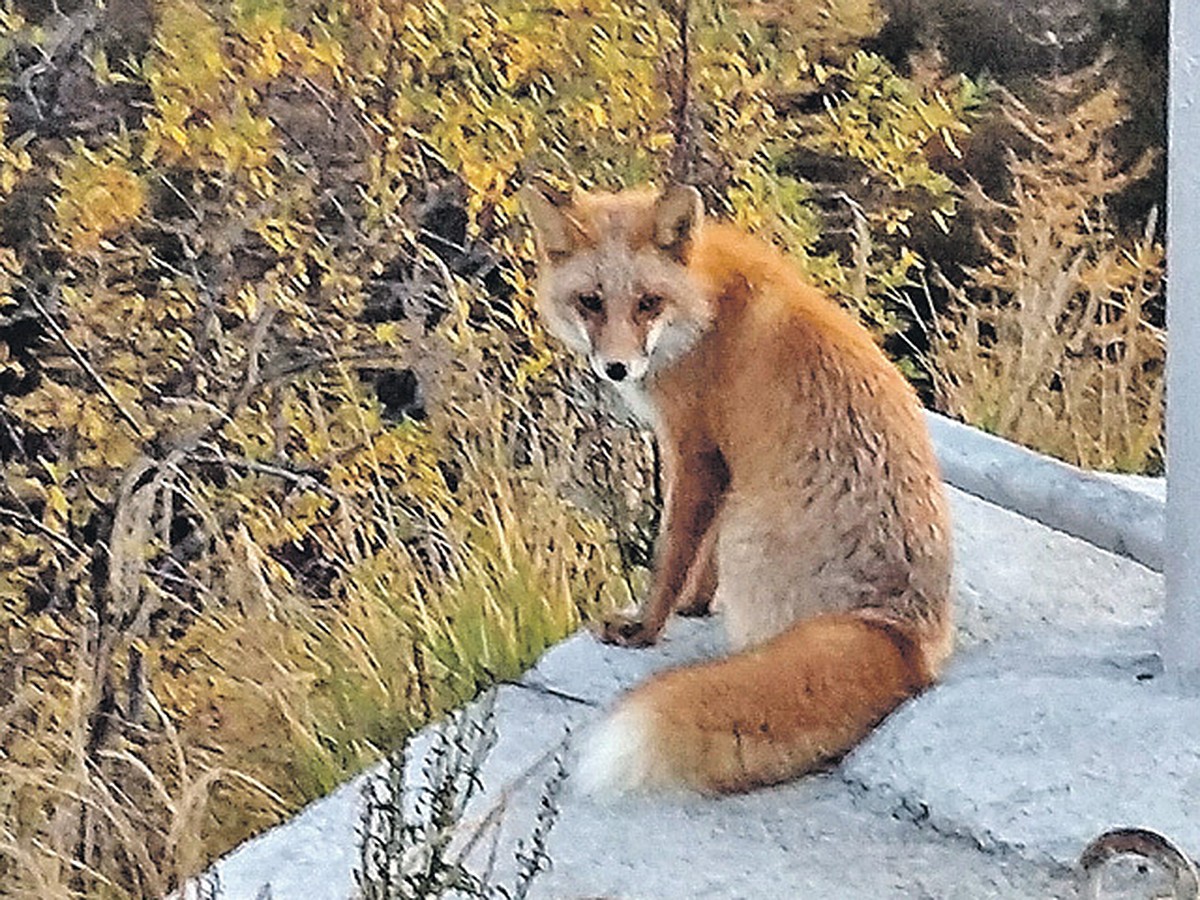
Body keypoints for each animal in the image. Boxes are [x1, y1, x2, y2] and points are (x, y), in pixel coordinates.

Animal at [520, 183, 950, 796]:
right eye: (591, 302)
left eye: (648, 303)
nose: (617, 368)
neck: (705, 309)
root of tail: (900, 636)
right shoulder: (726, 465)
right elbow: (699, 565)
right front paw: (696, 605)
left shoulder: (696, 453)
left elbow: (673, 554)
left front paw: (645, 627)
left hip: (748, 529)